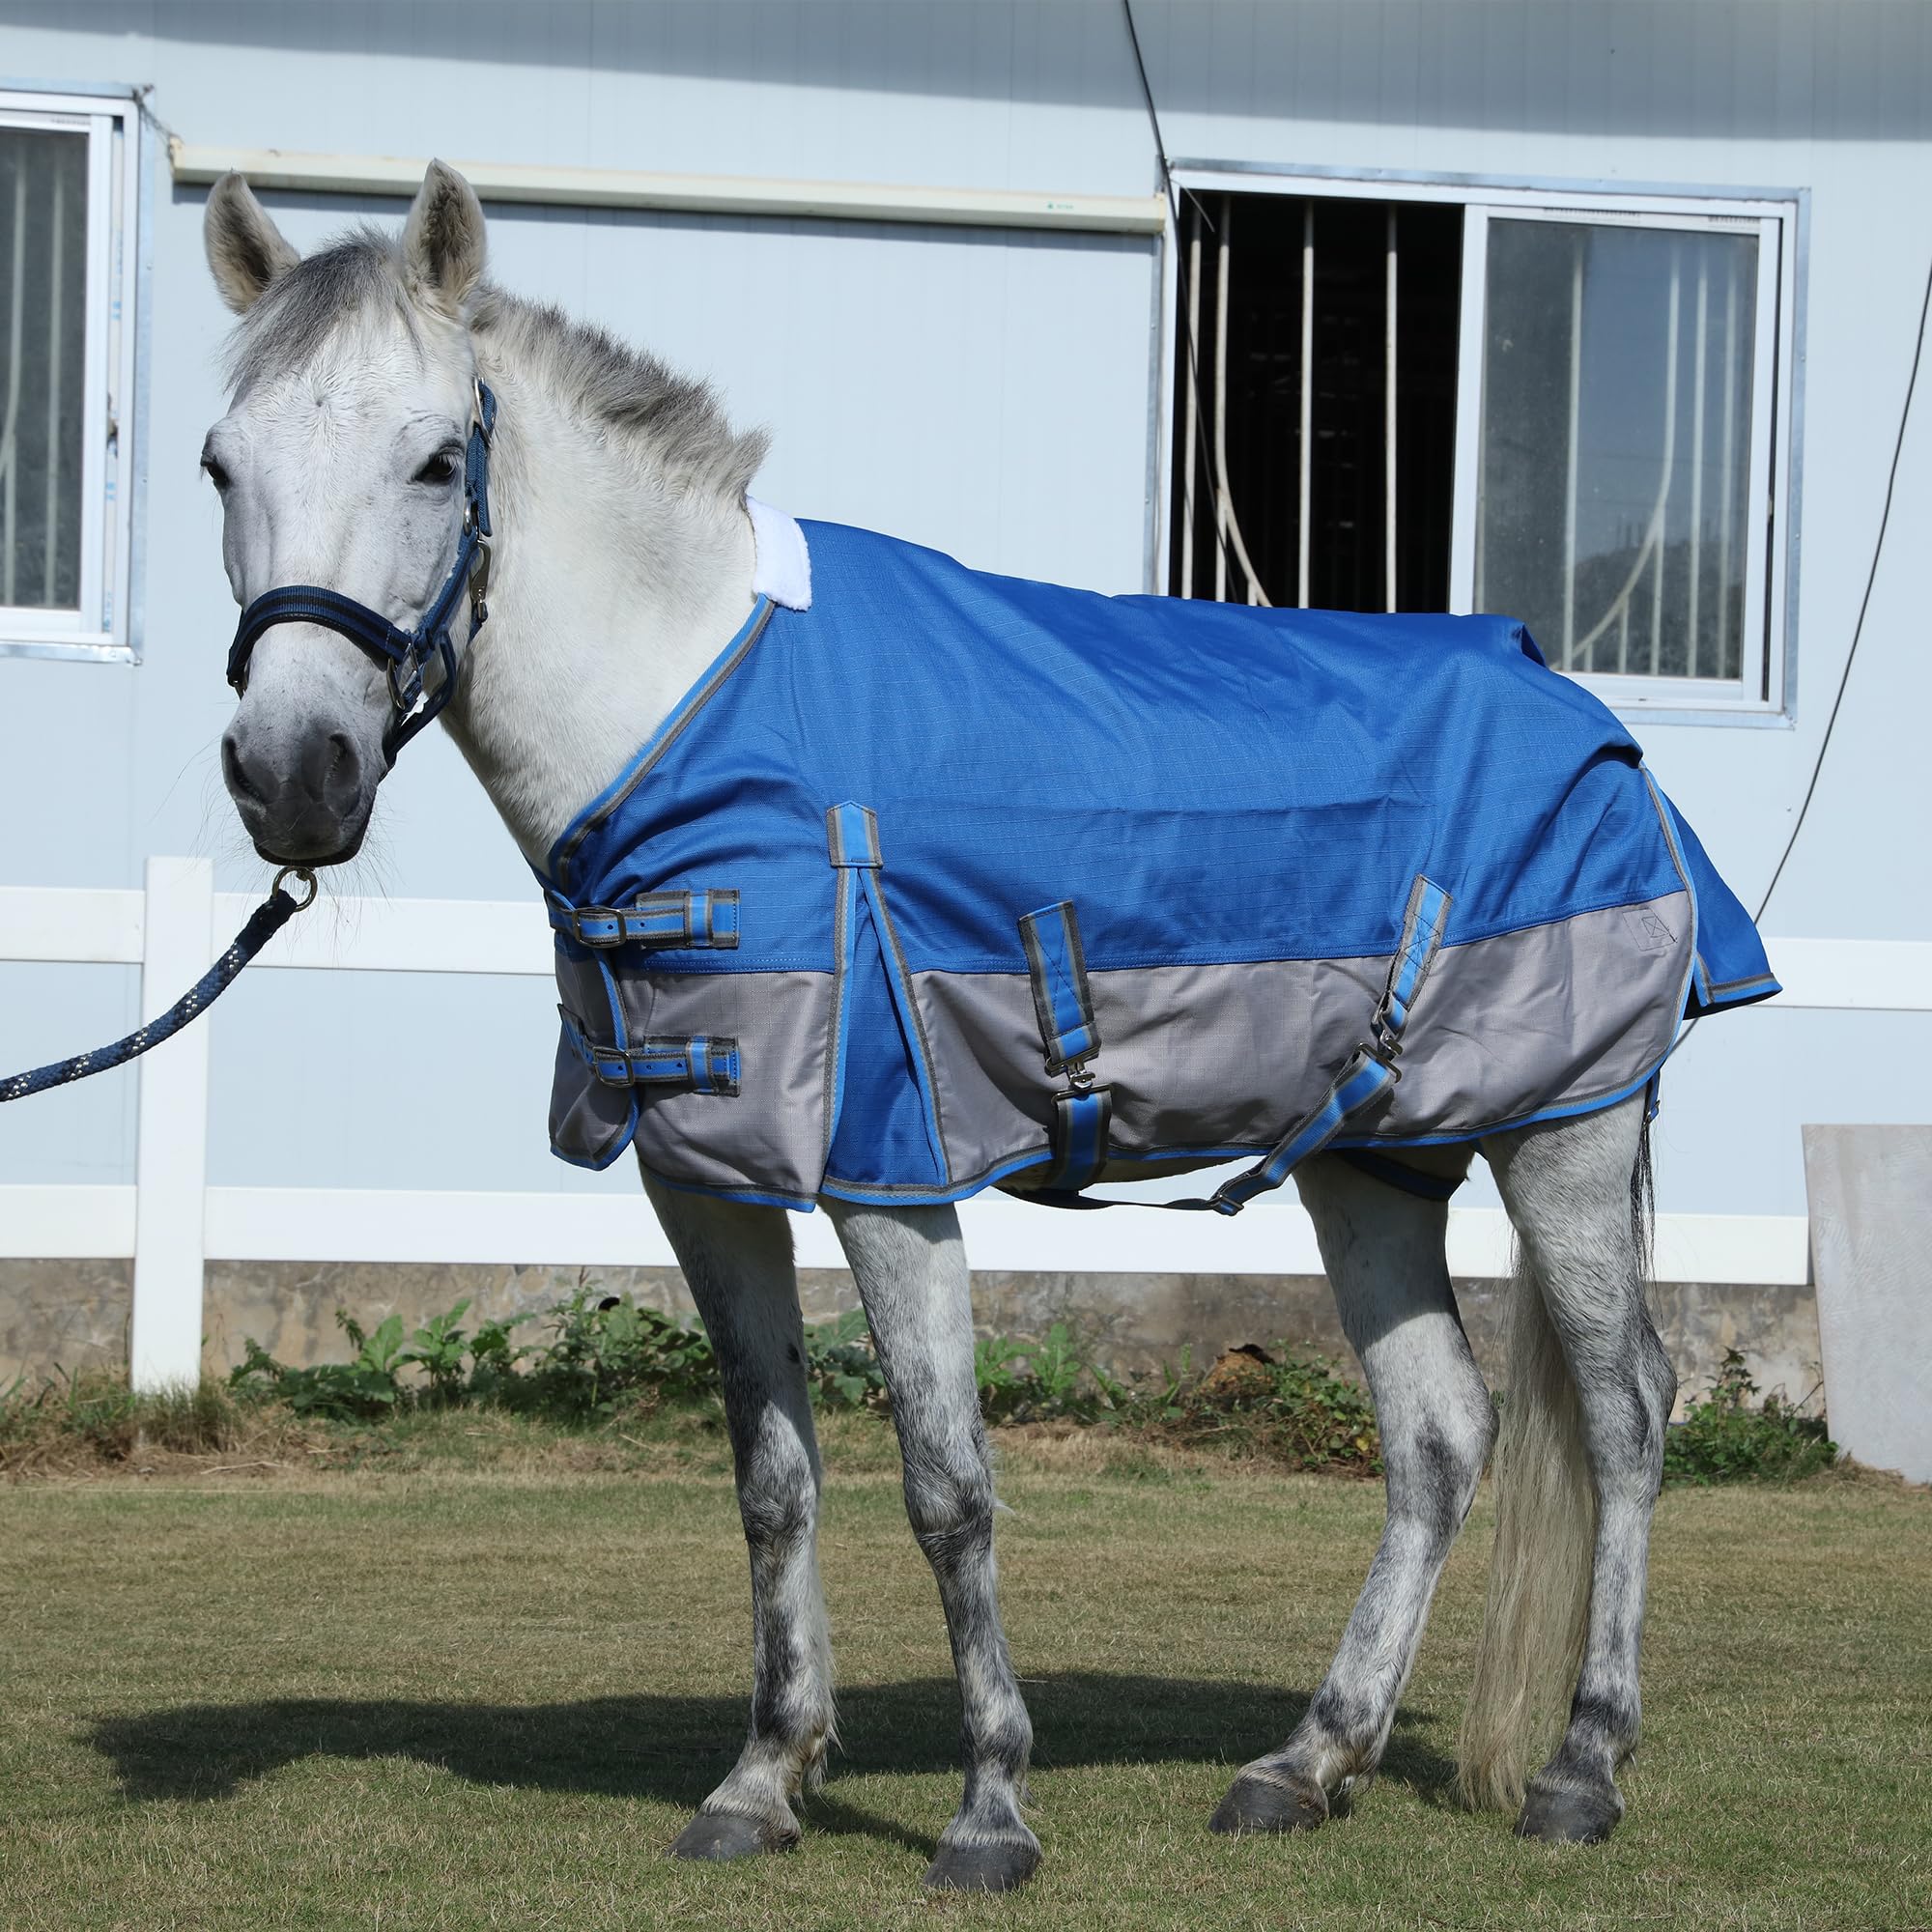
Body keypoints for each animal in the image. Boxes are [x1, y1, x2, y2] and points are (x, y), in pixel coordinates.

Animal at [200, 160, 1700, 1890]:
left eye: (438, 459)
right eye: (220, 463)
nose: (292, 776)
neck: (703, 717)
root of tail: (1582, 714)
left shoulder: (888, 1174)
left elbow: (946, 1487)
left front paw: (990, 1806)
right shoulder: (708, 1183)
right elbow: (773, 1486)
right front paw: (764, 1779)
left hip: (1566, 1138)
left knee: (1625, 1416)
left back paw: (1583, 1767)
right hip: (1373, 1163)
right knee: (1442, 1436)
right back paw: (1308, 1759)